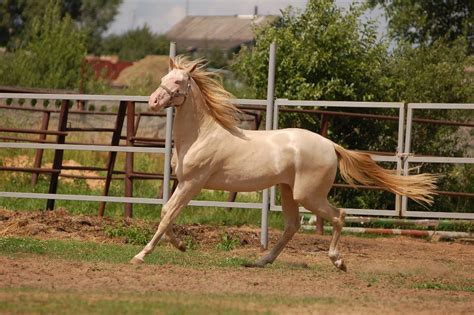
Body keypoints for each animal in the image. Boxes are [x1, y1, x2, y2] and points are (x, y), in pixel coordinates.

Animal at [131, 57, 436, 272]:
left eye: (179, 82)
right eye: (164, 78)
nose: (153, 101)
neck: (201, 135)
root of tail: (331, 146)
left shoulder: (193, 183)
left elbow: (167, 213)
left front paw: (142, 255)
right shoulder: (183, 183)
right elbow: (167, 213)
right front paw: (180, 245)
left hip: (308, 194)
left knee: (338, 216)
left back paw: (338, 261)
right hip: (289, 191)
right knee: (292, 225)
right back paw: (260, 261)